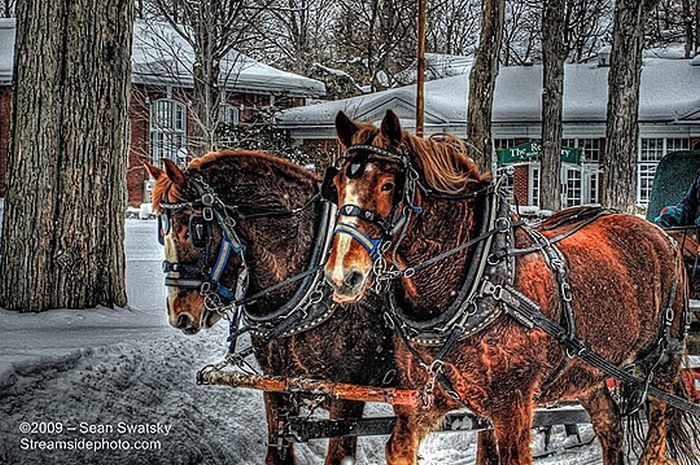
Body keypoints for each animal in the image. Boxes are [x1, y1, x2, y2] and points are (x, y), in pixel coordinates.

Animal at [145, 153, 396, 464]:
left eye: (194, 231)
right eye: (161, 233)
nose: (178, 314)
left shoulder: (348, 394)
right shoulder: (275, 383)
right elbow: (277, 454)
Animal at [324, 110, 700, 464]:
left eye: (388, 185)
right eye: (338, 184)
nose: (343, 274)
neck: (478, 282)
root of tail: (661, 233)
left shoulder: (511, 407)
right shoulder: (422, 403)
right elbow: (400, 446)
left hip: (661, 363)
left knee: (657, 436)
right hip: (589, 369)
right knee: (609, 423)